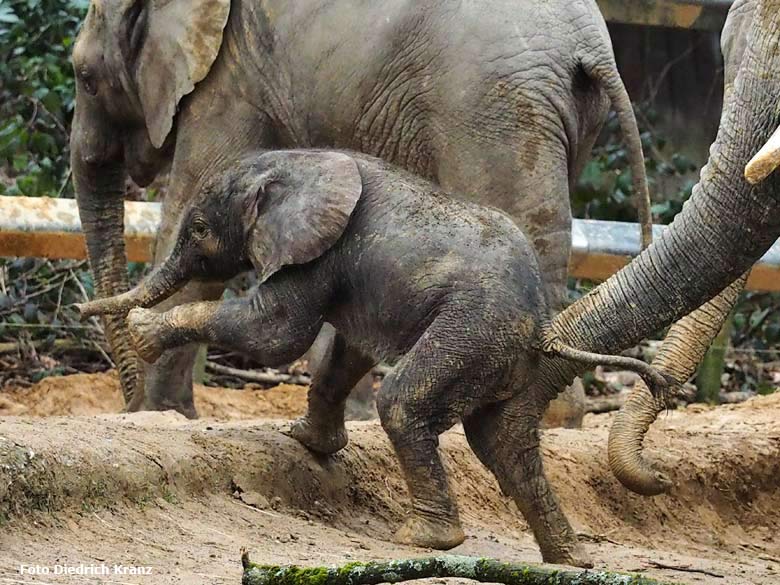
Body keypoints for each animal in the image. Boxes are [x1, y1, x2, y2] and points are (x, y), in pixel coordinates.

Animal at [70, 1, 648, 420]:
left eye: (84, 77)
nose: (78, 310)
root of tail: (591, 46)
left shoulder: (231, 78)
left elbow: (191, 206)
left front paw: (155, 415)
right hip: (554, 113)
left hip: (492, 106)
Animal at [76, 149, 668, 564]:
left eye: (199, 229)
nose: (82, 307)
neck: (294, 162)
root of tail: (542, 323)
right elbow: (346, 351)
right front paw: (304, 439)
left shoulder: (317, 252)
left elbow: (277, 335)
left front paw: (143, 332)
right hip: (494, 355)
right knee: (502, 441)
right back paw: (571, 560)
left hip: (472, 331)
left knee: (405, 403)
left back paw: (427, 539)